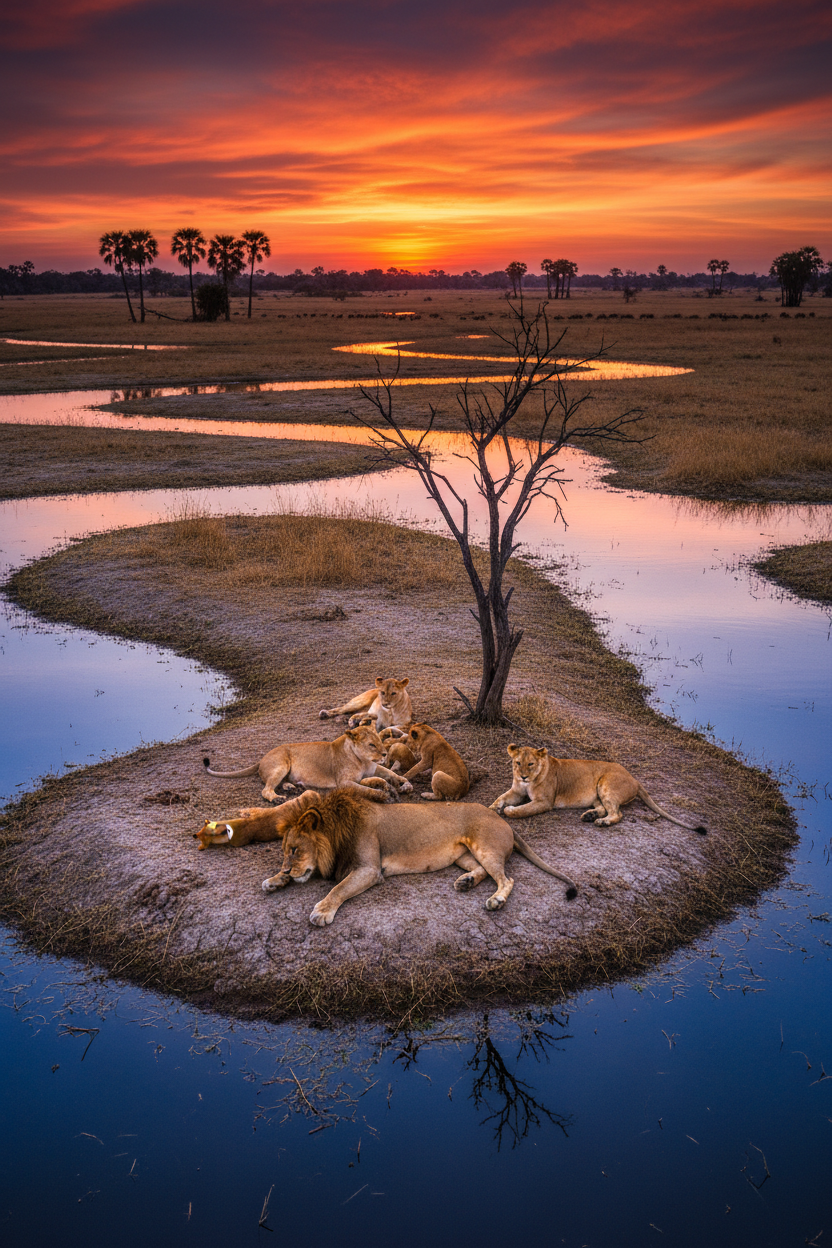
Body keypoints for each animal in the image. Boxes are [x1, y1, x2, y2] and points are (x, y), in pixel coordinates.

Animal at [203, 725, 412, 804]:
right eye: (371, 745)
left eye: (379, 740)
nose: (384, 753)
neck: (364, 761)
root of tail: (261, 759)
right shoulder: (343, 782)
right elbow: (366, 789)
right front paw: (384, 794)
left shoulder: (374, 769)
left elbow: (388, 774)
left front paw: (403, 782)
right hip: (281, 764)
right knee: (266, 789)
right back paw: (277, 798)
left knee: (277, 783)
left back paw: (291, 787)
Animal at [260, 788, 578, 924]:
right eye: (285, 851)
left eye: (295, 849)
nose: (287, 871)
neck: (338, 832)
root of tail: (502, 819)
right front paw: (274, 880)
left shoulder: (369, 869)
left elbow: (339, 888)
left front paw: (322, 911)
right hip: (462, 855)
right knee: (482, 871)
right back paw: (465, 882)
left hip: (485, 846)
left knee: (506, 878)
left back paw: (496, 900)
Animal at [490, 745, 707, 833]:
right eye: (518, 763)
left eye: (531, 764)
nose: (523, 776)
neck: (529, 782)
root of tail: (635, 780)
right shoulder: (517, 791)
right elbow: (501, 797)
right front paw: (492, 808)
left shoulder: (545, 802)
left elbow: (522, 810)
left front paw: (510, 811)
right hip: (597, 794)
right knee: (603, 808)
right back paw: (590, 816)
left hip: (606, 784)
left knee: (617, 814)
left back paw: (602, 822)